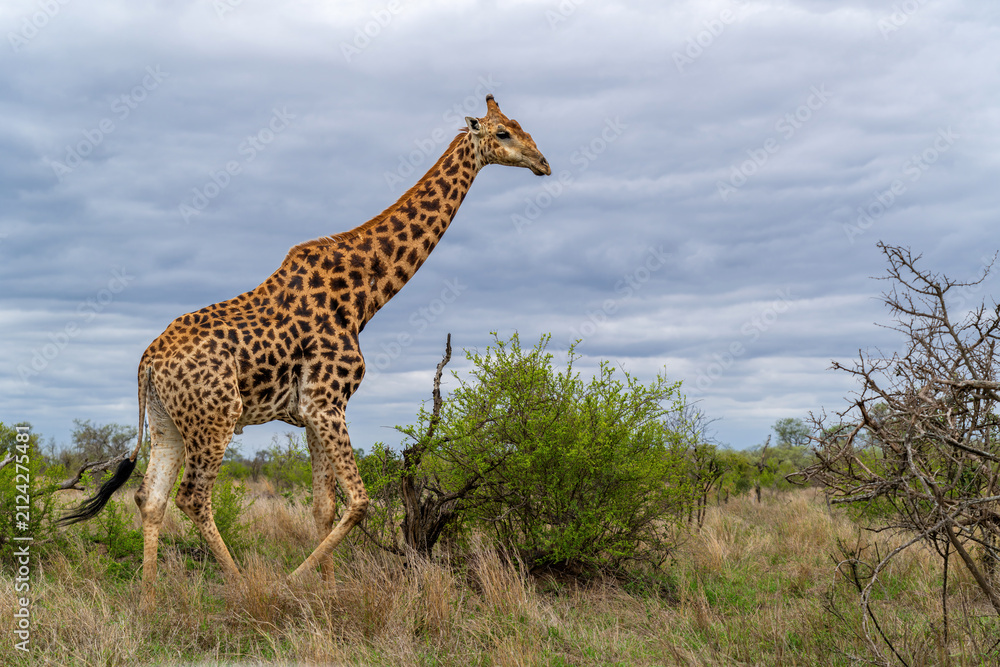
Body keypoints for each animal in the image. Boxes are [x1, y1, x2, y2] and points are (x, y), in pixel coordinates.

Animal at [60, 94, 550, 604]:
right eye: (502, 133)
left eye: (521, 126)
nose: (543, 162)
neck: (366, 294)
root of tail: (147, 363)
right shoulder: (327, 403)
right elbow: (358, 502)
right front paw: (292, 583)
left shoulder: (312, 412)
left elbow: (323, 506)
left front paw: (329, 596)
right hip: (216, 417)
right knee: (192, 497)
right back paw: (242, 587)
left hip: (167, 423)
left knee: (149, 497)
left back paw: (149, 599)